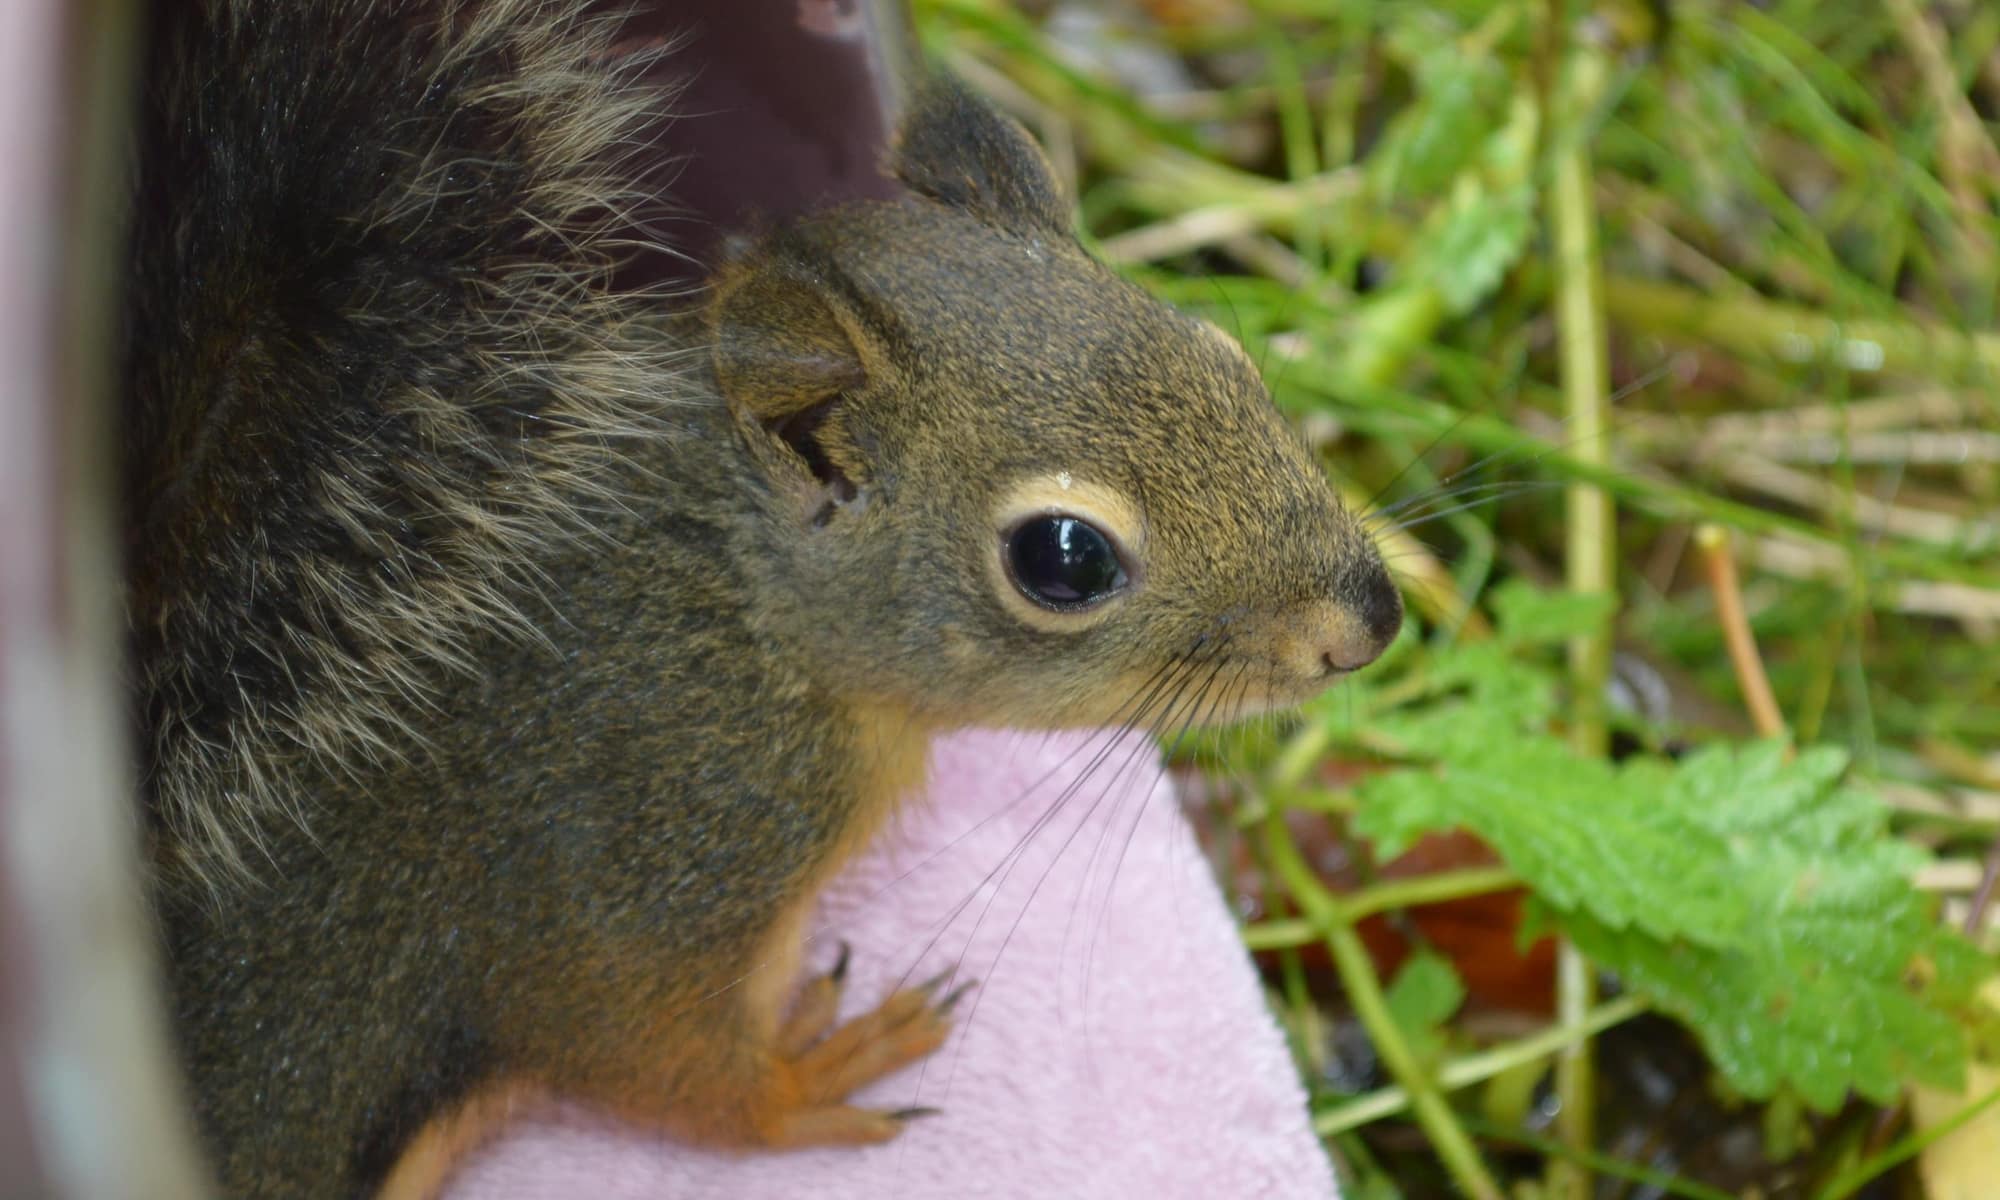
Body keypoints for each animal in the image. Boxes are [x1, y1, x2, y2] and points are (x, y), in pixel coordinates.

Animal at [129, 2, 1408, 1200]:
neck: (742, 616)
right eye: (1062, 559)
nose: (1369, 621)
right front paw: (814, 1076)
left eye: (1219, 356)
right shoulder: (640, 868)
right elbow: (651, 1056)